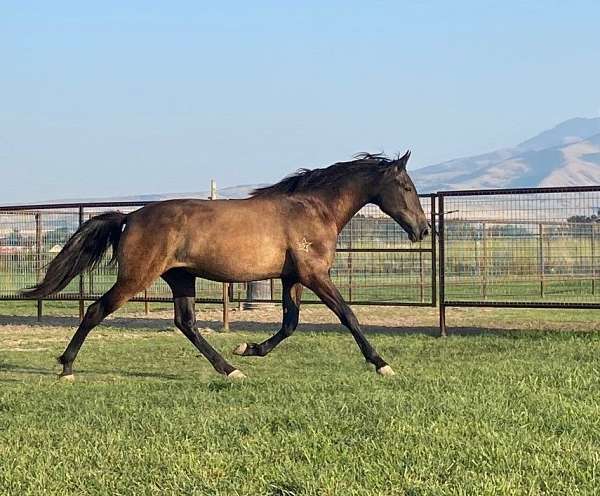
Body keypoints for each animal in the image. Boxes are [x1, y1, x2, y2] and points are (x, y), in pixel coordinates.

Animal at [22, 151, 426, 380]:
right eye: (406, 187)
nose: (422, 229)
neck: (312, 209)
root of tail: (130, 217)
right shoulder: (314, 275)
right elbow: (348, 315)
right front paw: (382, 363)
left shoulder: (293, 278)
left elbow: (290, 324)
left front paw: (248, 349)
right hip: (137, 278)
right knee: (95, 310)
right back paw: (66, 368)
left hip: (181, 278)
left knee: (186, 323)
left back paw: (231, 369)